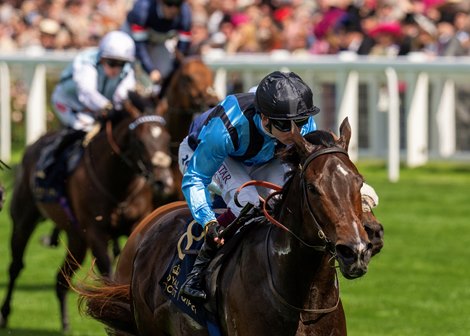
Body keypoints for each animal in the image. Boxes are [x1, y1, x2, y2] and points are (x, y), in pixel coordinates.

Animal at [0, 93, 175, 332]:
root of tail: (36, 142)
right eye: (139, 140)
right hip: (24, 220)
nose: (163, 182)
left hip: (76, 239)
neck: (118, 183)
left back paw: (65, 323)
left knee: (61, 278)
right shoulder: (96, 233)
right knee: (16, 266)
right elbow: (108, 278)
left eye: (167, 138)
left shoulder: (135, 226)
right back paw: (5, 315)